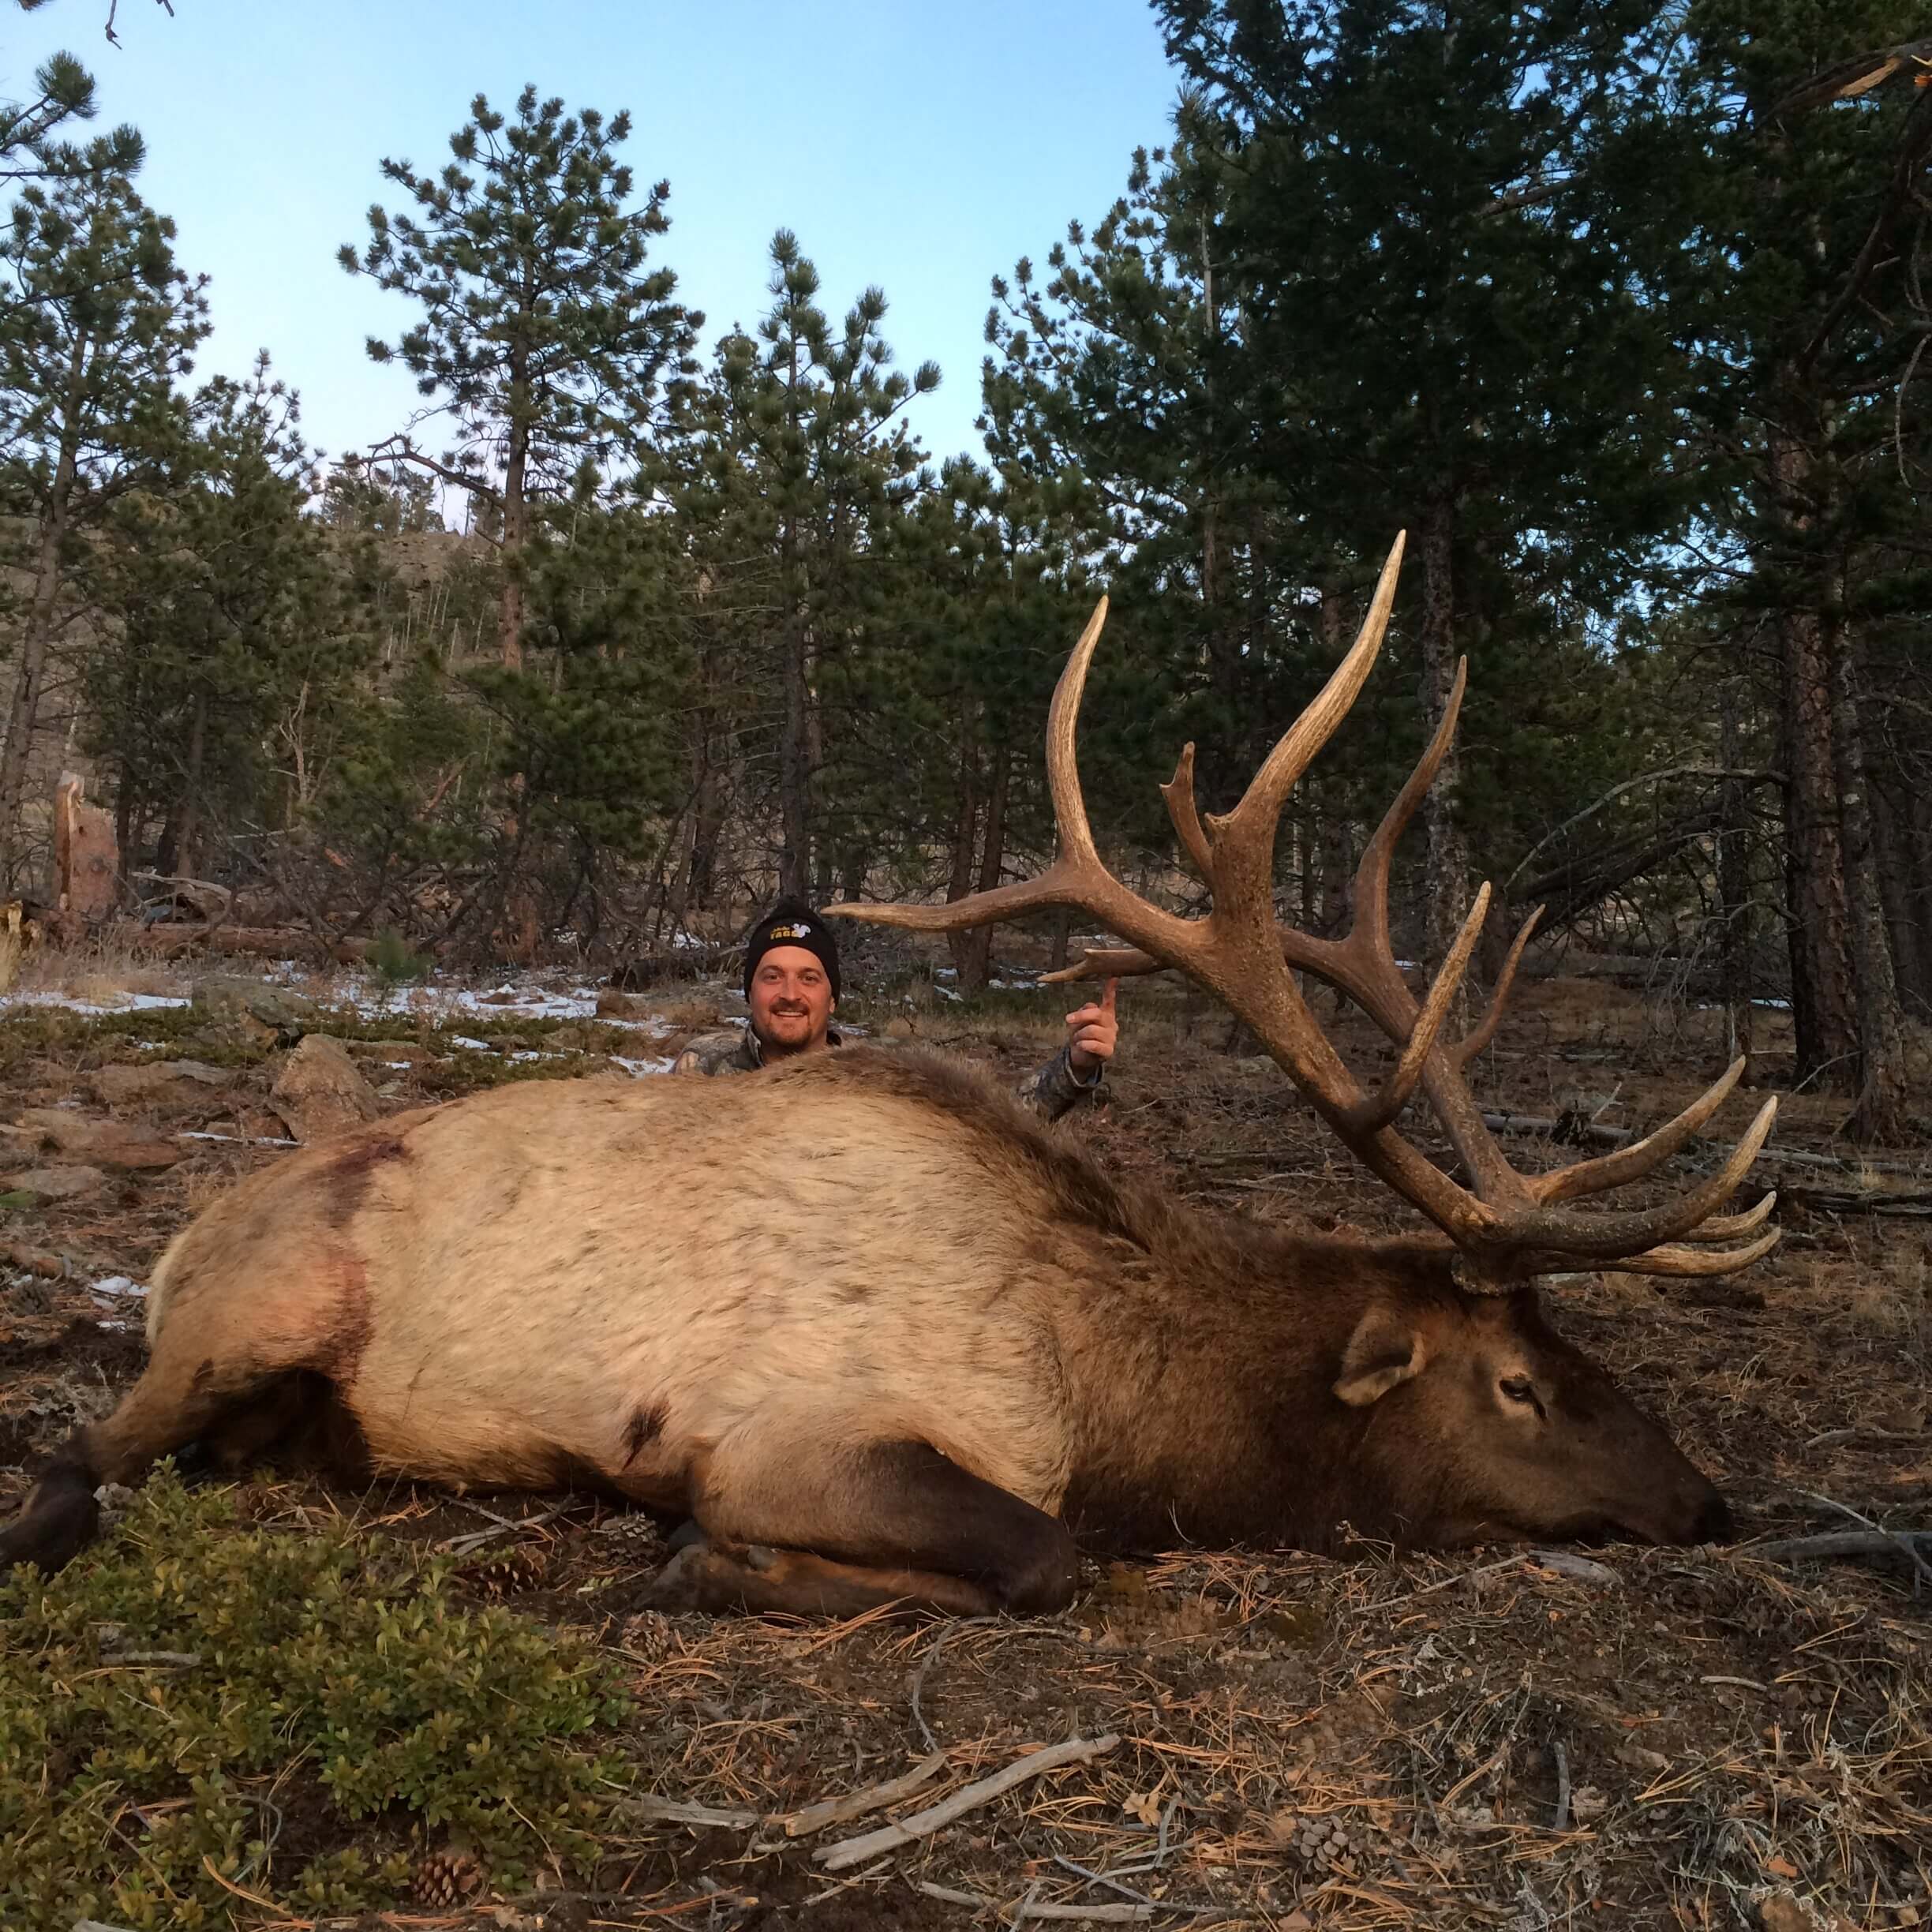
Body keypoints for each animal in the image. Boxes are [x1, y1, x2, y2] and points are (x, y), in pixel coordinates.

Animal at [0, 536, 1779, 1619]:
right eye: (1519, 1382)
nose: (1708, 1501)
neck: (1115, 1383)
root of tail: (174, 1245)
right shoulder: (801, 1433)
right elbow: (1049, 1557)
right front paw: (709, 1565)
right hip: (263, 1307)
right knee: (74, 1460)